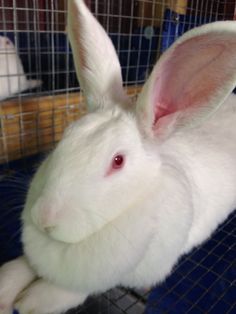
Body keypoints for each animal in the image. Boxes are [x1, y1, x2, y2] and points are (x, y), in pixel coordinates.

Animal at [0, 0, 236, 314]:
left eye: (118, 161)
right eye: (66, 136)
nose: (44, 218)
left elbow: (78, 288)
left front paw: (34, 301)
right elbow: (24, 264)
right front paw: (5, 289)